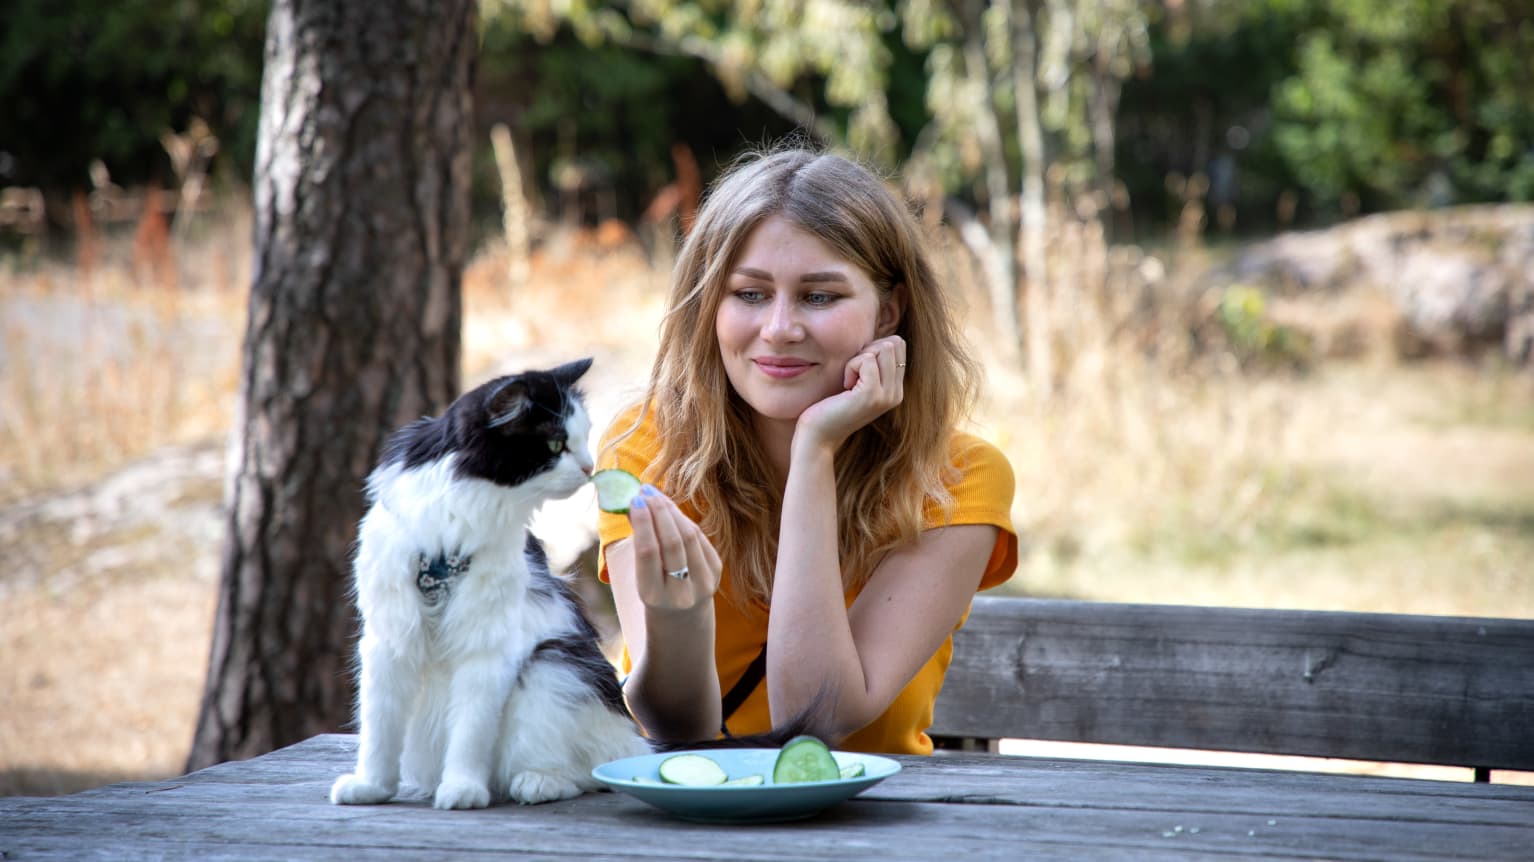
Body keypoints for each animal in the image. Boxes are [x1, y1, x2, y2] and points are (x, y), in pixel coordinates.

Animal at [329, 354, 653, 803]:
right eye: (556, 445)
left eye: (584, 438)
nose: (590, 468)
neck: (448, 538)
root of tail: (635, 739)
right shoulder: (388, 642)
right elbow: (378, 729)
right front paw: (371, 786)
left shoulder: (487, 648)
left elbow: (469, 731)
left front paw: (462, 788)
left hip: (551, 665)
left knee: (585, 773)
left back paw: (537, 782)